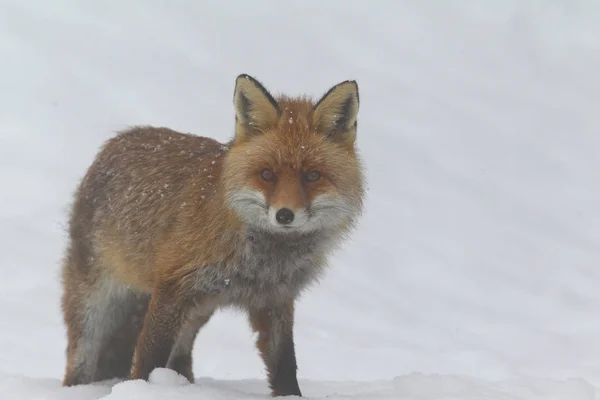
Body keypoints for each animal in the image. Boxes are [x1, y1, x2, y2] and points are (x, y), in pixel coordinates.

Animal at [59, 73, 366, 396]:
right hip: (94, 307)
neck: (261, 260)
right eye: (267, 174)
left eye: (312, 176)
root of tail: (116, 140)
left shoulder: (275, 299)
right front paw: (139, 390)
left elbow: (284, 363)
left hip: (194, 314)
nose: (284, 215)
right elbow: (148, 355)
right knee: (79, 363)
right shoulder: (173, 284)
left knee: (180, 359)